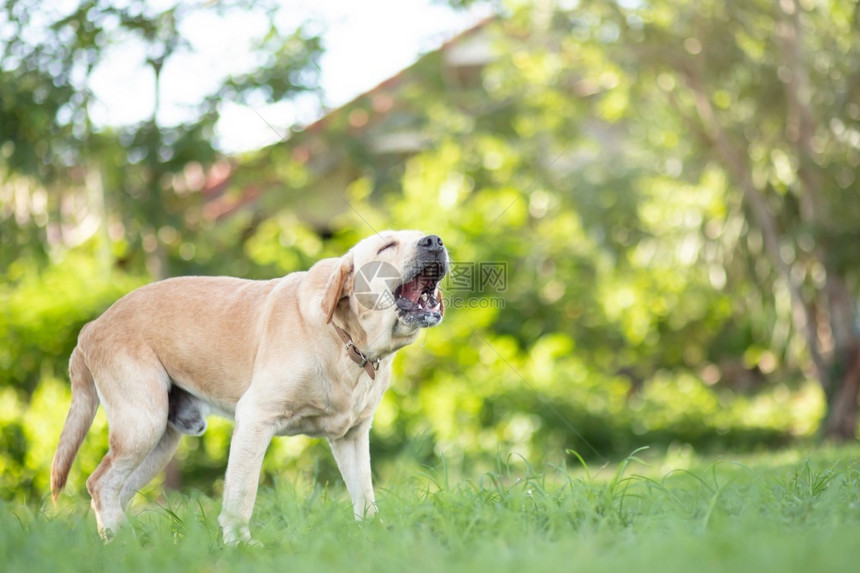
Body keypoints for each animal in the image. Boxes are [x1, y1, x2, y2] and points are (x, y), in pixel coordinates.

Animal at [49, 230, 450, 544]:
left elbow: (364, 494)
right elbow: (242, 493)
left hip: (160, 440)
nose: (435, 241)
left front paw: (374, 534)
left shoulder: (351, 436)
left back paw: (125, 545)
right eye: (387, 246)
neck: (346, 340)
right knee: (100, 484)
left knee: (115, 491)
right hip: (142, 425)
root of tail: (91, 327)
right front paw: (239, 544)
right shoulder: (255, 418)